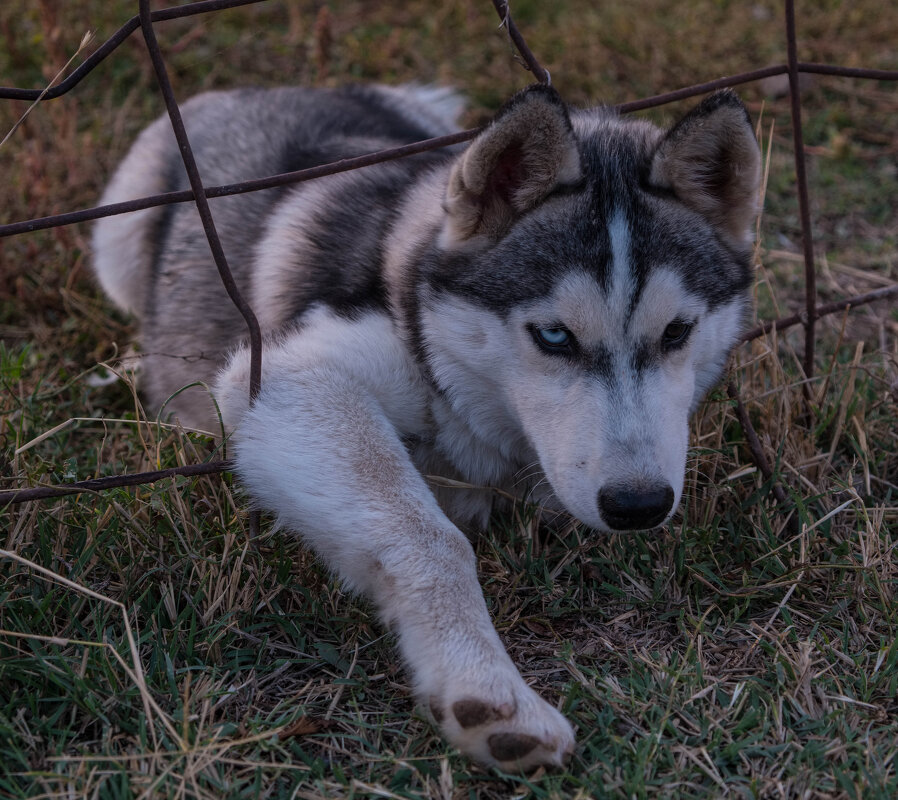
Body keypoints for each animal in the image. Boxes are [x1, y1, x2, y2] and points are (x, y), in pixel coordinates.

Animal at [96, 84, 756, 772]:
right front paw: (487, 686)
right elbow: (431, 537)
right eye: (554, 336)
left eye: (677, 332)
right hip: (117, 238)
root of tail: (260, 88)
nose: (639, 504)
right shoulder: (285, 377)